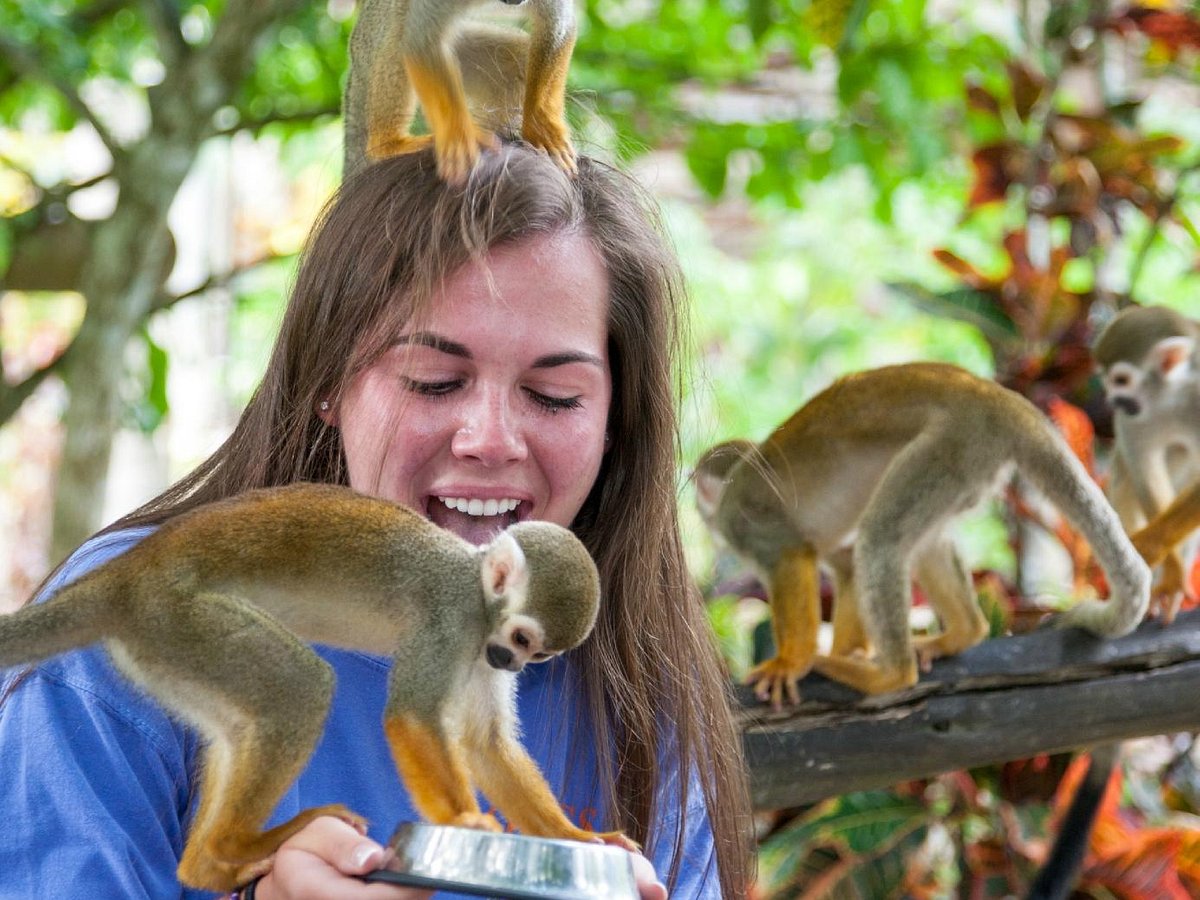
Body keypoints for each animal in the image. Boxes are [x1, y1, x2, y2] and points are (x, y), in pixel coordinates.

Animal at [0, 482, 633, 892]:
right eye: (522, 637)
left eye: (539, 653)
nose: (509, 662)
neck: (480, 597)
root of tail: (127, 575)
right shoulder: (451, 617)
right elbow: (411, 715)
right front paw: (464, 822)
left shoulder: (476, 648)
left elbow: (485, 744)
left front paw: (575, 837)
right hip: (179, 618)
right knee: (299, 686)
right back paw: (238, 844)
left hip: (165, 646)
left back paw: (205, 865)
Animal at [343, 0, 576, 183]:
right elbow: (421, 40)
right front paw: (458, 138)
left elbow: (557, 23)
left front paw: (541, 129)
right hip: (369, 41)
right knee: (400, 29)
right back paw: (388, 144)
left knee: (515, 59)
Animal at [696, 362, 1152, 710]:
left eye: (700, 491)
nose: (698, 512)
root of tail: (1003, 400)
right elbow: (845, 566)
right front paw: (851, 650)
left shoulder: (748, 524)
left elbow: (793, 556)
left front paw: (792, 661)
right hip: (972, 465)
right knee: (917, 542)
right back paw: (963, 632)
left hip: (954, 443)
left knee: (881, 539)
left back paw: (889, 676)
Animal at [1094, 307, 1200, 624]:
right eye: (1107, 381)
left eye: (1121, 380)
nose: (1113, 401)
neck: (1171, 396)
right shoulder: (1135, 416)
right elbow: (1143, 468)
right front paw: (1172, 571)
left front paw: (1154, 546)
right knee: (1126, 470)